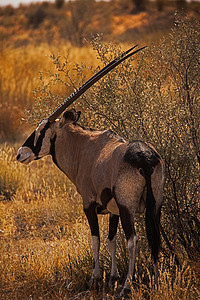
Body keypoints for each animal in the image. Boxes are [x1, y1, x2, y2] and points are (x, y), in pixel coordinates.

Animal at [16, 45, 164, 296]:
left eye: (42, 130)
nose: (20, 154)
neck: (84, 147)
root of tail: (145, 158)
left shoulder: (89, 204)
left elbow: (96, 238)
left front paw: (96, 278)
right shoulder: (113, 210)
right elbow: (111, 239)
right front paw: (112, 277)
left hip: (128, 207)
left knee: (133, 239)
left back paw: (127, 286)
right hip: (156, 206)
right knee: (154, 236)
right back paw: (156, 280)